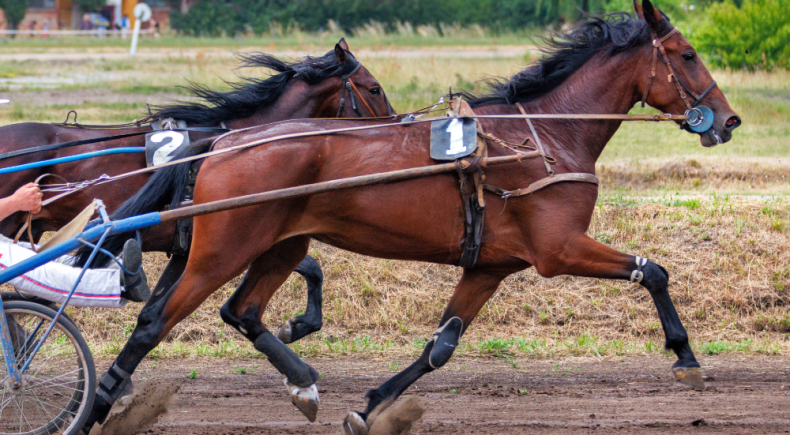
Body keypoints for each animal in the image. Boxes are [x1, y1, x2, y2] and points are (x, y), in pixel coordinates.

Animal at [82, 2, 744, 432]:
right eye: (687, 55)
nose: (729, 119)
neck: (543, 137)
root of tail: (220, 142)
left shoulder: (491, 266)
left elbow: (441, 346)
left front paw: (370, 405)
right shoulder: (559, 248)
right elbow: (652, 271)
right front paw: (685, 357)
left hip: (280, 245)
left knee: (241, 310)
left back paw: (304, 383)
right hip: (221, 249)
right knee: (154, 322)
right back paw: (94, 409)